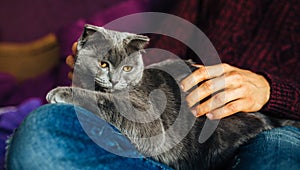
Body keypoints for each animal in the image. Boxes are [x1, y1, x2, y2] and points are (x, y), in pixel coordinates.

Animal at [47, 24, 300, 170]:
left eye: (128, 68)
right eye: (102, 64)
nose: (115, 80)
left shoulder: (147, 118)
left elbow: (106, 102)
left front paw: (60, 92)